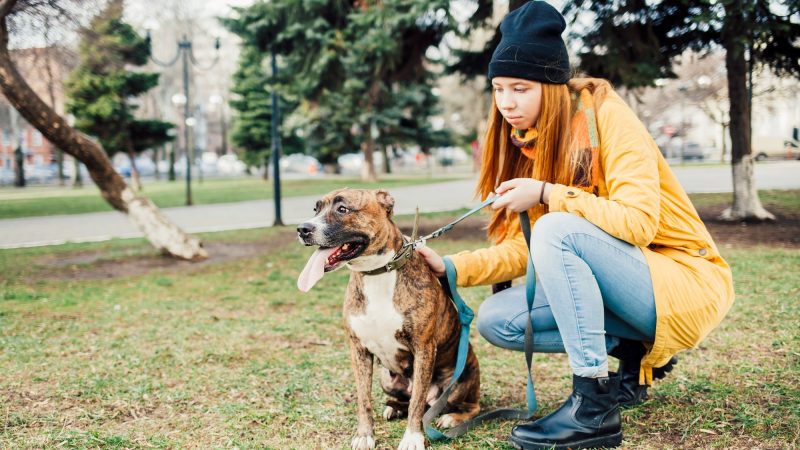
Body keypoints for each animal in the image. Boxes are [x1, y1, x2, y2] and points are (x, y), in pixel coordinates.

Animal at [296, 188, 478, 450]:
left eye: (342, 209)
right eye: (316, 209)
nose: (302, 229)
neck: (377, 273)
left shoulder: (424, 348)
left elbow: (417, 401)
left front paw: (412, 437)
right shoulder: (358, 349)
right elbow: (363, 398)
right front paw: (364, 434)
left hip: (461, 379)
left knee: (466, 405)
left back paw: (451, 417)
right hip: (386, 378)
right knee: (405, 399)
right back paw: (394, 408)